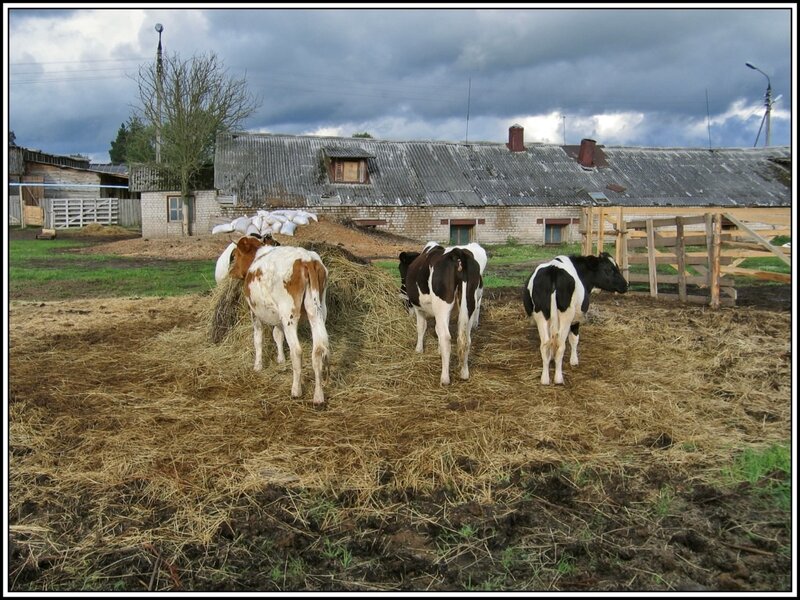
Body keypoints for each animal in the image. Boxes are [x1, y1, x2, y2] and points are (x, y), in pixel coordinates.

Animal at [230, 237, 330, 406]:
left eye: (236, 255)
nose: (231, 272)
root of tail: (306, 259)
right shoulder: (278, 318)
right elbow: (278, 335)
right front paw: (281, 359)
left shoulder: (254, 312)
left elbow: (258, 339)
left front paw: (258, 366)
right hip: (317, 311)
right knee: (318, 350)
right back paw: (318, 397)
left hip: (289, 313)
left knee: (297, 351)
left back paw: (296, 390)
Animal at [396, 243, 484, 384]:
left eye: (400, 268)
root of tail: (456, 253)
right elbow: (437, 329)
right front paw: (438, 351)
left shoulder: (419, 309)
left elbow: (421, 328)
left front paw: (419, 349)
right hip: (470, 304)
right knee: (465, 338)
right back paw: (464, 373)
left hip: (442, 305)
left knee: (446, 338)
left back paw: (445, 378)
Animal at [520, 252, 628, 384]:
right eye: (609, 269)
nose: (626, 285)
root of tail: (554, 270)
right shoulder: (576, 319)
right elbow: (574, 339)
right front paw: (574, 361)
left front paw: (552, 358)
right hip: (566, 317)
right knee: (561, 344)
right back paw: (558, 378)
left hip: (541, 315)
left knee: (545, 344)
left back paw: (545, 379)